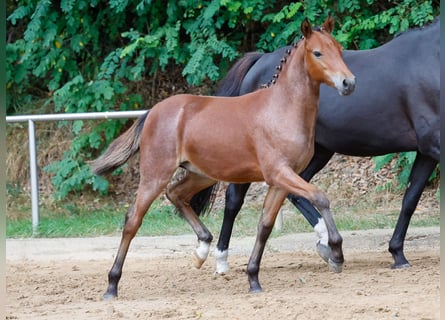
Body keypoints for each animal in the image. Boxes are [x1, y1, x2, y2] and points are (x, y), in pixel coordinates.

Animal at [193, 17, 438, 274]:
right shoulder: (434, 146)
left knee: (296, 192)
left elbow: (410, 199)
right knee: (234, 199)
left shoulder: (427, 152)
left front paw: (398, 253)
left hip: (316, 152)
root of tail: (259, 61)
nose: (348, 84)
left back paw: (325, 243)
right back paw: (220, 259)